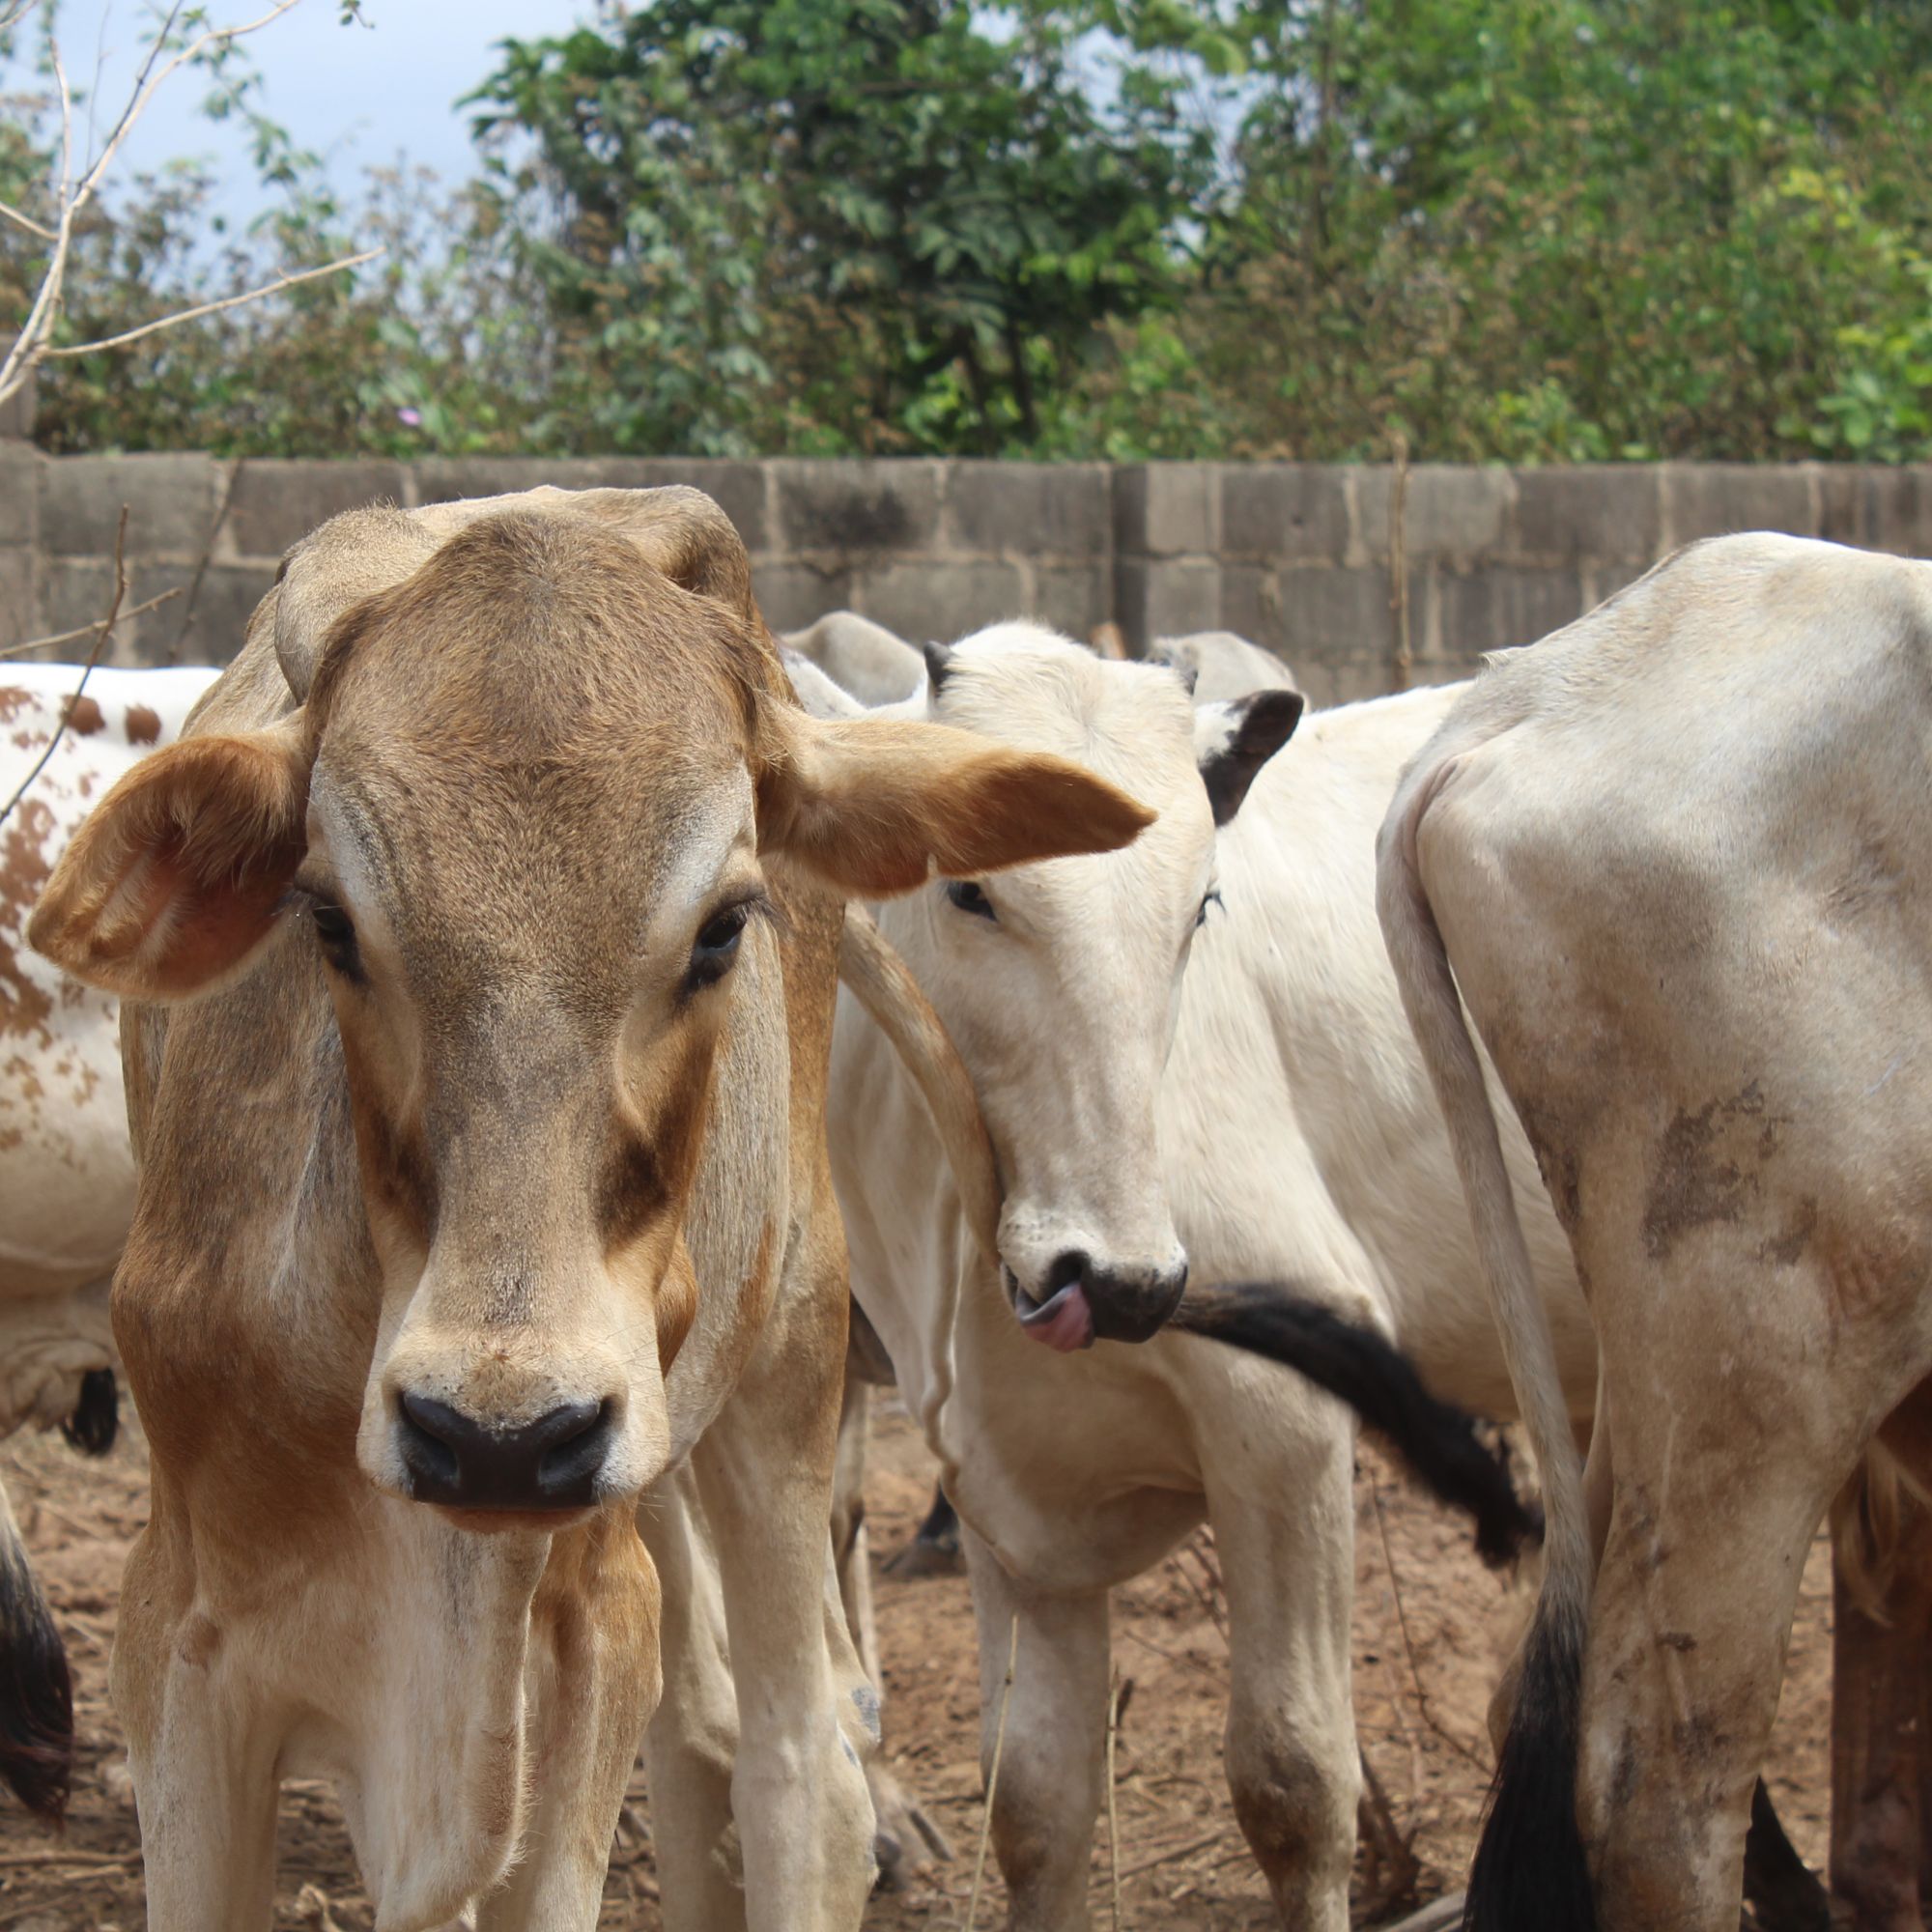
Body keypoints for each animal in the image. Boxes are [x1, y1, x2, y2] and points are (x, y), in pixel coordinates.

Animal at [30, 487, 1144, 1932]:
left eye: (723, 926)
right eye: (326, 918)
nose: (496, 1439)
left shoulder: (587, 1636)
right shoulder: (181, 1647)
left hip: (783, 1366)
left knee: (799, 1764)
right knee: (702, 1741)